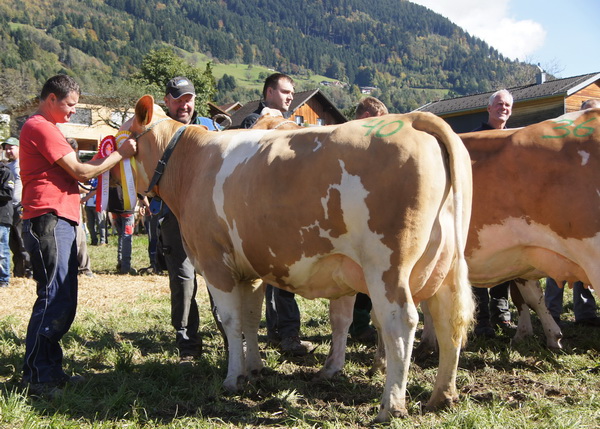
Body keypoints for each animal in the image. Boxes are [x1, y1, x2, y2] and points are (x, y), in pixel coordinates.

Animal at [119, 95, 472, 420]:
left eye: (123, 136)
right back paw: (442, 396)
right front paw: (255, 370)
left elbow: (232, 321)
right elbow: (252, 317)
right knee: (448, 319)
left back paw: (391, 406)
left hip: (386, 265)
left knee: (401, 321)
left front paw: (233, 379)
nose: (137, 204)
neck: (194, 164)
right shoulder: (252, 269)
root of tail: (412, 119)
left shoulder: (215, 262)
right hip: (446, 263)